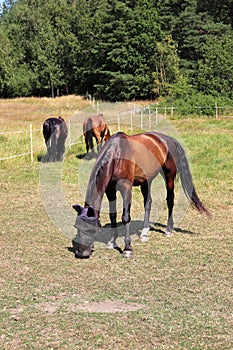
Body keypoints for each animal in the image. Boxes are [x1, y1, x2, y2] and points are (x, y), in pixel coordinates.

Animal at [73, 131, 209, 258]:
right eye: (77, 227)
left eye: (90, 229)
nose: (81, 253)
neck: (117, 155)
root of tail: (169, 139)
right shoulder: (110, 190)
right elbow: (113, 215)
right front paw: (112, 241)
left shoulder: (126, 188)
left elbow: (125, 217)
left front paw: (128, 248)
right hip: (146, 181)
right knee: (148, 203)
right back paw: (144, 233)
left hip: (169, 176)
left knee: (170, 200)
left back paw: (169, 229)